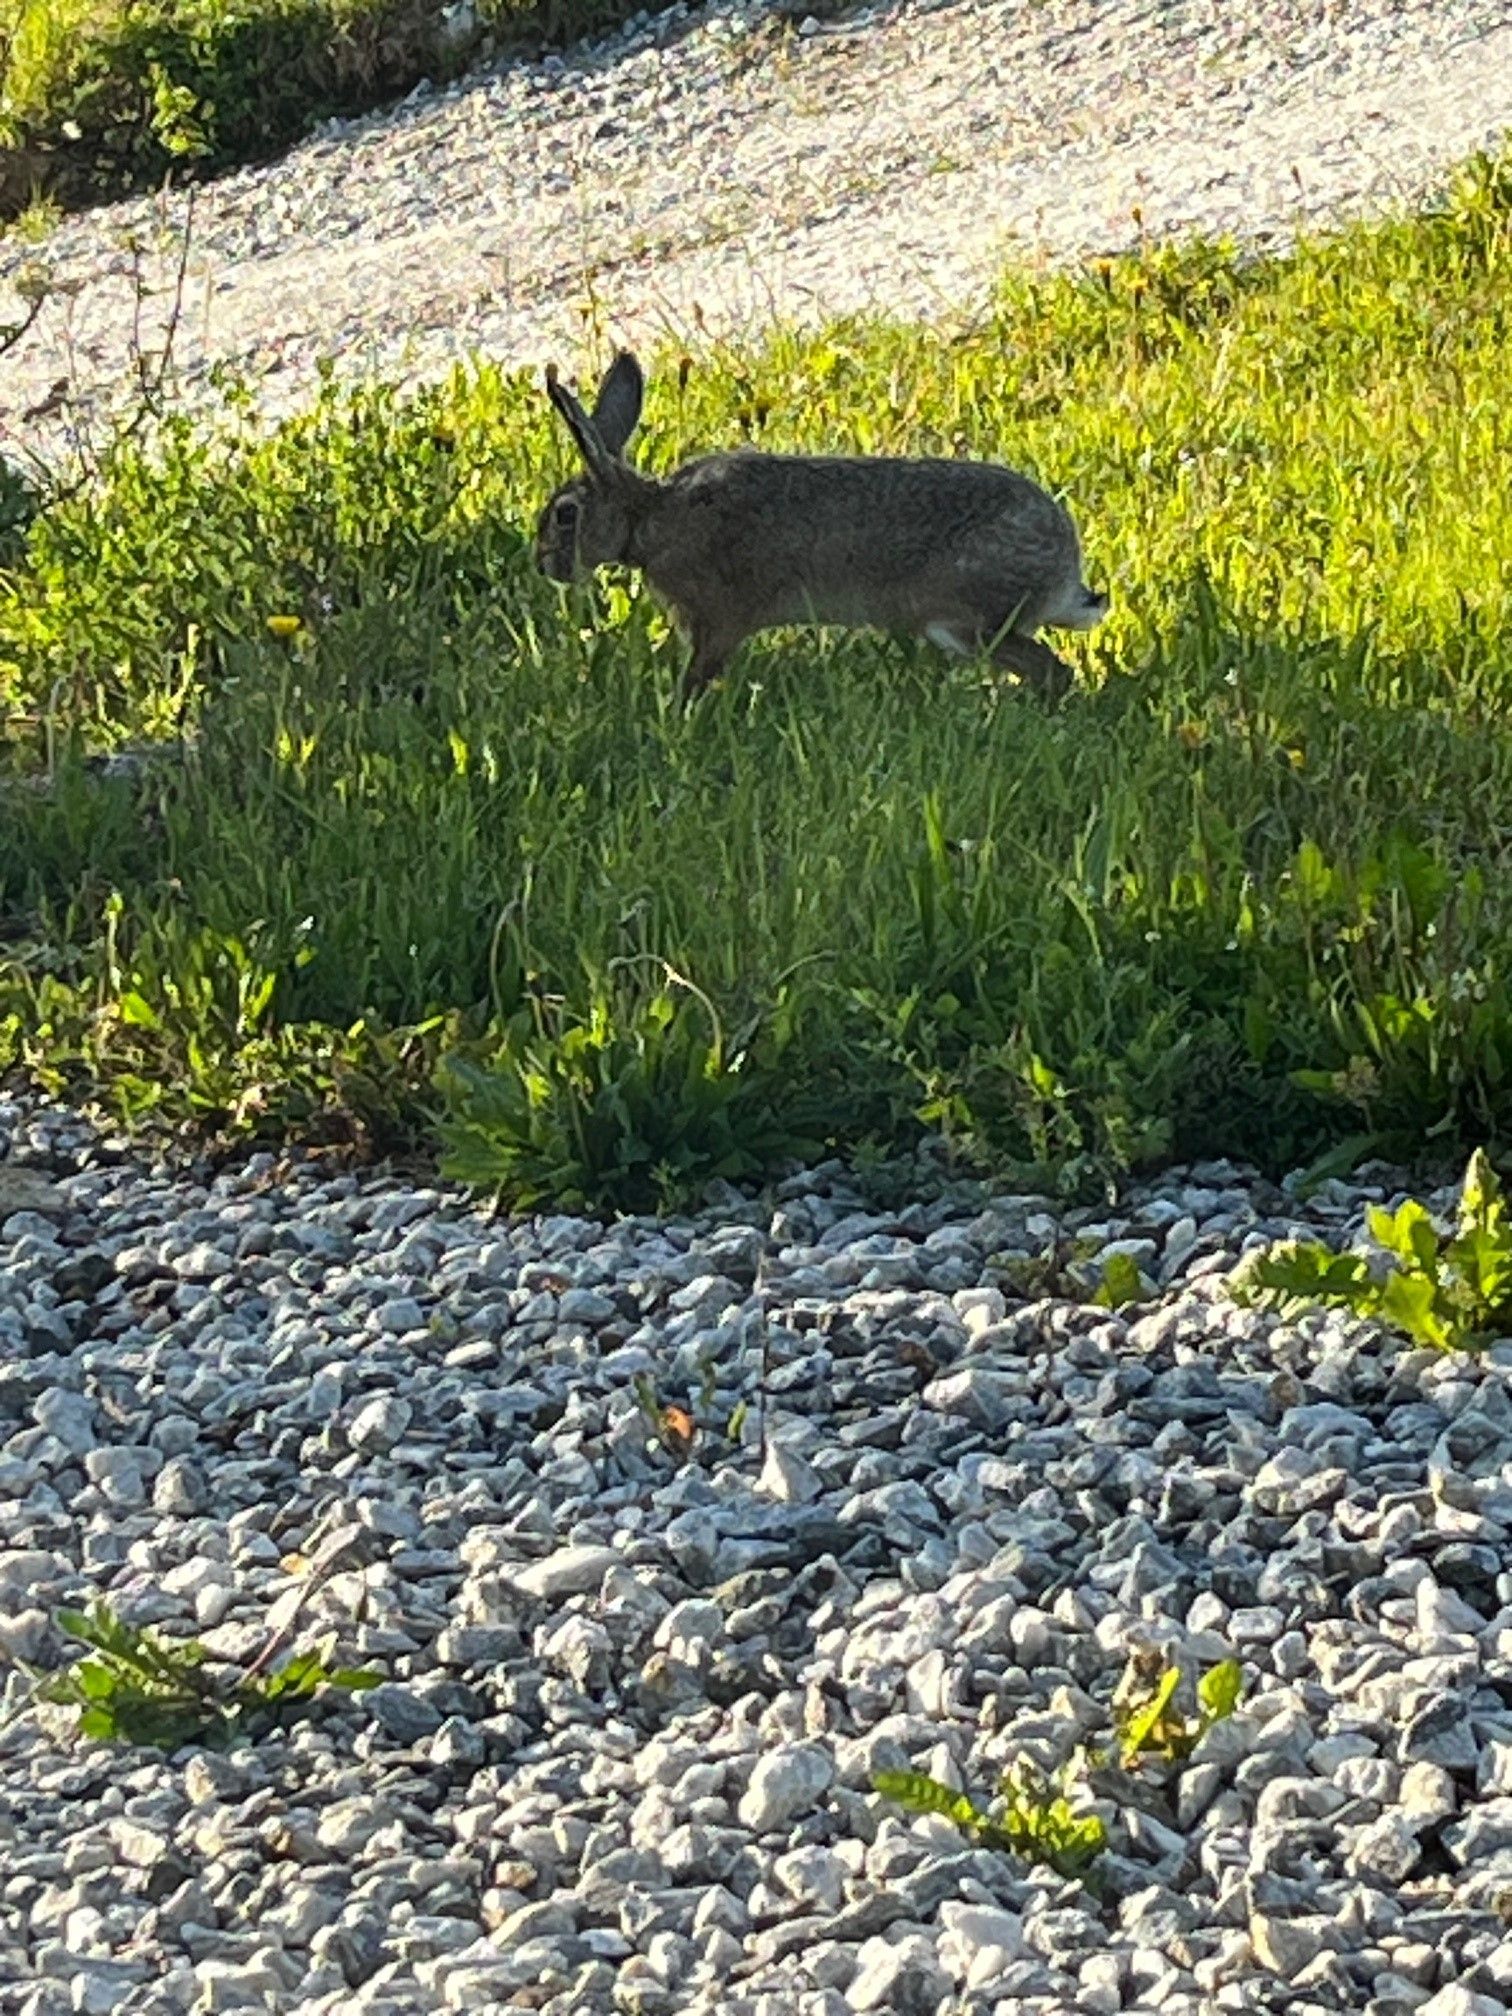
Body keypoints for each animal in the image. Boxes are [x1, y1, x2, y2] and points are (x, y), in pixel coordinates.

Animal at [535, 349, 1107, 702]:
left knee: (1053, 672)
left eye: (565, 514)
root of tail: (1064, 566)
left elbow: (698, 675)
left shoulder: (717, 621)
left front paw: (678, 717)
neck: (650, 518)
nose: (543, 565)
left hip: (966, 619)